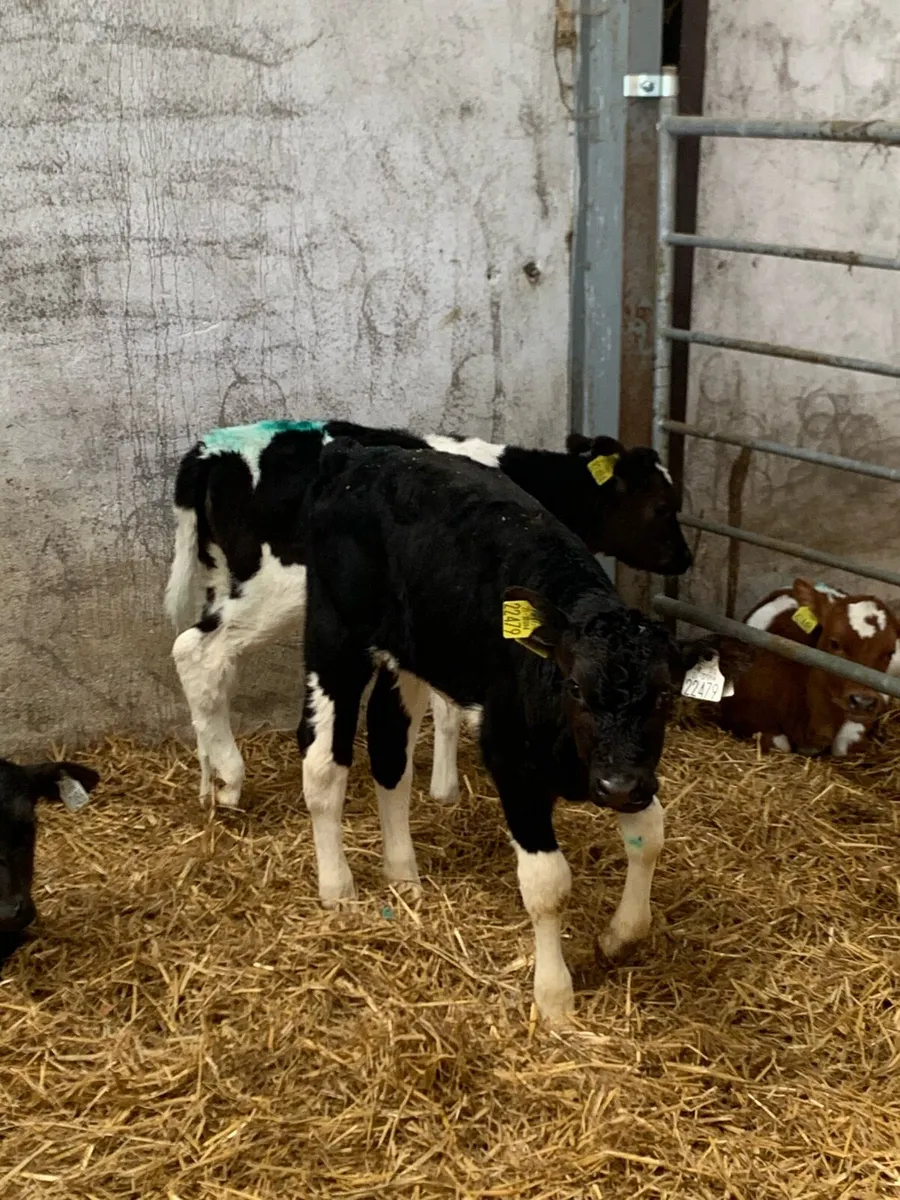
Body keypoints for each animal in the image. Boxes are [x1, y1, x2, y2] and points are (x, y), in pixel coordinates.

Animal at [165, 418, 691, 811]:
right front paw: (446, 787)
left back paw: (210, 782)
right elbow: (449, 709)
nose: (686, 558)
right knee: (197, 650)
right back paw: (232, 779)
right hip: (275, 587)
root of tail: (211, 451)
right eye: (662, 507)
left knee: (211, 672)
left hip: (222, 578)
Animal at [298, 439, 745, 1021]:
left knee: (390, 747)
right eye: (574, 686)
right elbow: (548, 883)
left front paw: (621, 936)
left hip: (412, 653)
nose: (617, 787)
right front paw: (554, 998)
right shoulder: (512, 759)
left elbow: (650, 836)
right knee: (323, 764)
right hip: (335, 639)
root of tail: (361, 454)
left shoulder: (629, 768)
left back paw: (403, 872)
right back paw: (338, 888)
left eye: (666, 694)